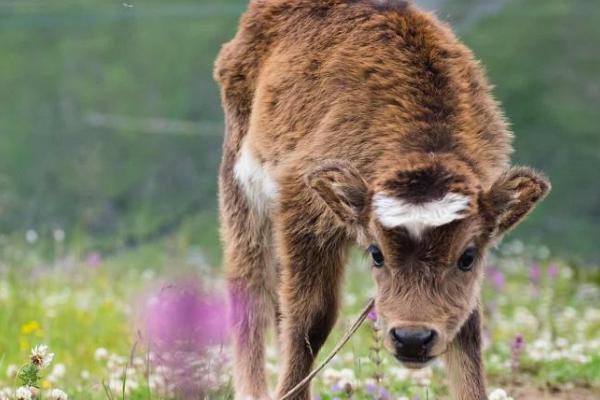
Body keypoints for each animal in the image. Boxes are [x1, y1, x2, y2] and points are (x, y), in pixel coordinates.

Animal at [213, 1, 552, 398]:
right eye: (376, 254)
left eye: (467, 257)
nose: (412, 338)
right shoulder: (303, 210)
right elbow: (312, 319)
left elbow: (467, 329)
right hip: (242, 189)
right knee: (250, 287)